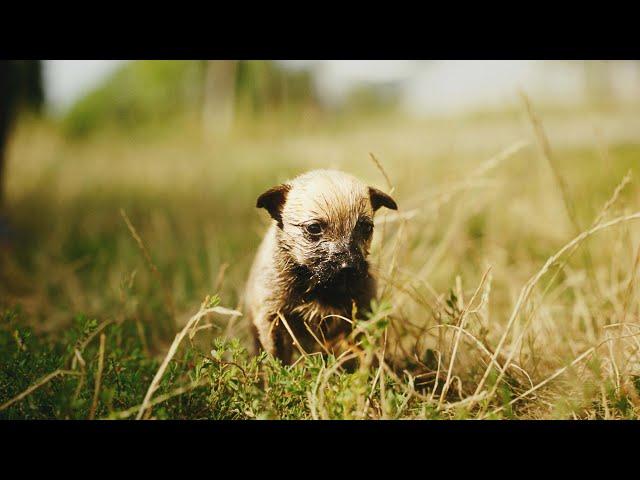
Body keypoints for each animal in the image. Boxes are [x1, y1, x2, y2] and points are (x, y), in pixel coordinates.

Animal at [248, 170, 398, 364]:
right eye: (313, 228)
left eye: (366, 227)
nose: (348, 267)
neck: (322, 288)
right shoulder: (273, 319)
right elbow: (278, 357)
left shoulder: (361, 316)